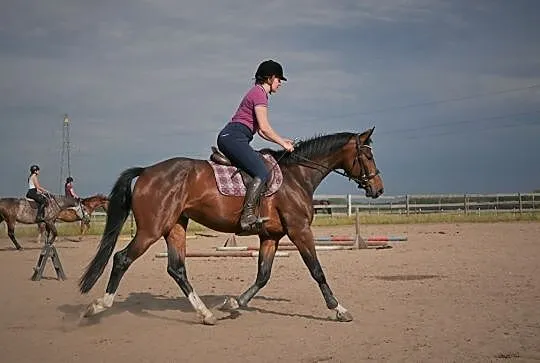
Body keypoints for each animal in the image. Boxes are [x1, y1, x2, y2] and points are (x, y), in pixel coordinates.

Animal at [79, 127, 384, 324]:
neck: (297, 176)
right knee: (122, 259)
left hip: (175, 226)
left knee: (176, 268)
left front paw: (234, 303)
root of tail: (146, 172)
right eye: (368, 156)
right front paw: (339, 309)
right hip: (151, 229)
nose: (378, 189)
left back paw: (206, 314)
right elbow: (317, 271)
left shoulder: (271, 237)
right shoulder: (299, 231)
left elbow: (263, 275)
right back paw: (98, 306)